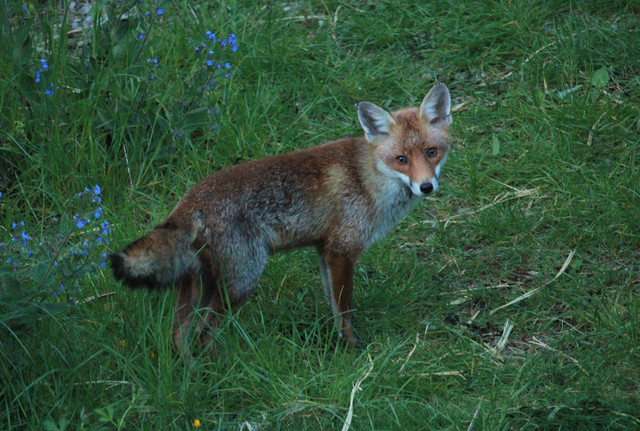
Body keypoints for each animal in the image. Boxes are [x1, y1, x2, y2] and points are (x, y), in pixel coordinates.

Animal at [110, 82, 453, 353]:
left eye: (432, 151)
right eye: (401, 160)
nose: (426, 186)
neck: (367, 178)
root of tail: (189, 198)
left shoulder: (324, 250)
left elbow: (333, 307)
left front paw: (339, 345)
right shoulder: (342, 249)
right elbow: (345, 312)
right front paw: (352, 352)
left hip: (195, 283)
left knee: (179, 335)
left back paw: (191, 375)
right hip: (241, 281)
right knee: (203, 334)